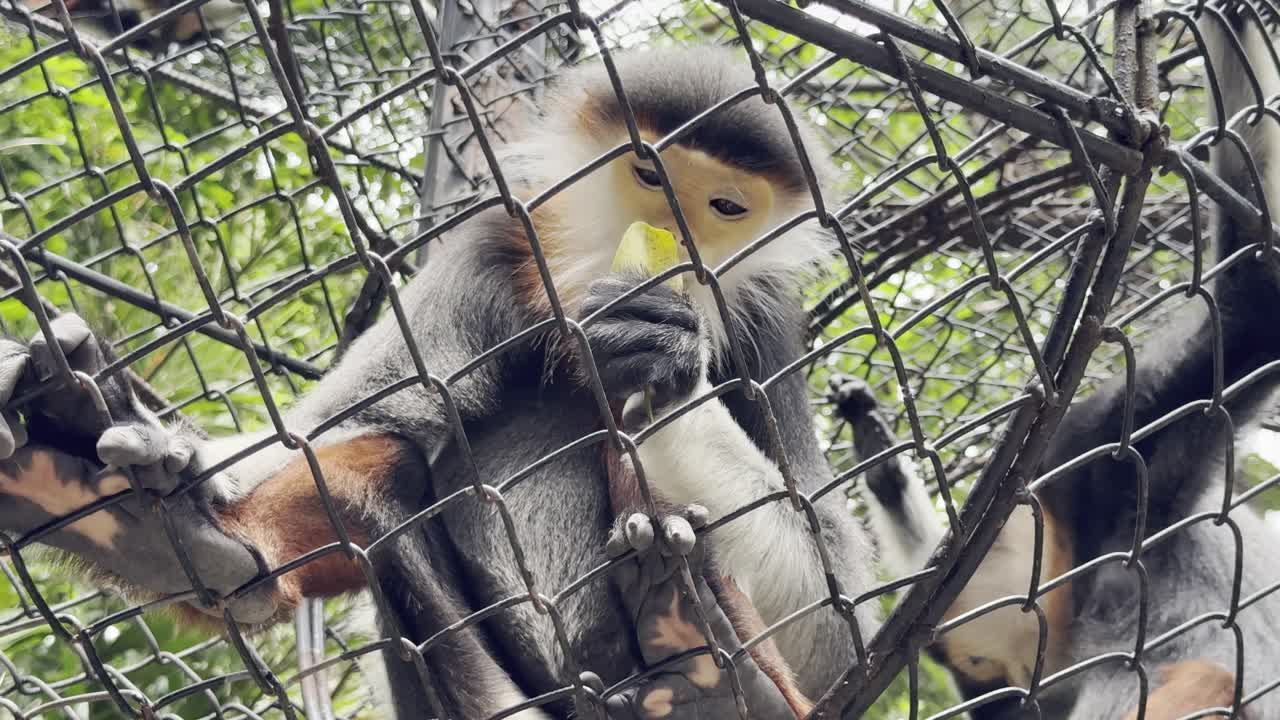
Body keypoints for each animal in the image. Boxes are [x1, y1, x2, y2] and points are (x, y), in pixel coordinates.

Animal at [0, 45, 879, 719]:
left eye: (726, 207)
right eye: (649, 176)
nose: (673, 242)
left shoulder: (768, 321)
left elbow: (840, 635)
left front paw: (666, 358)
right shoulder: (494, 242)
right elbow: (331, 426)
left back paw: (706, 671)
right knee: (380, 477)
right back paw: (164, 525)